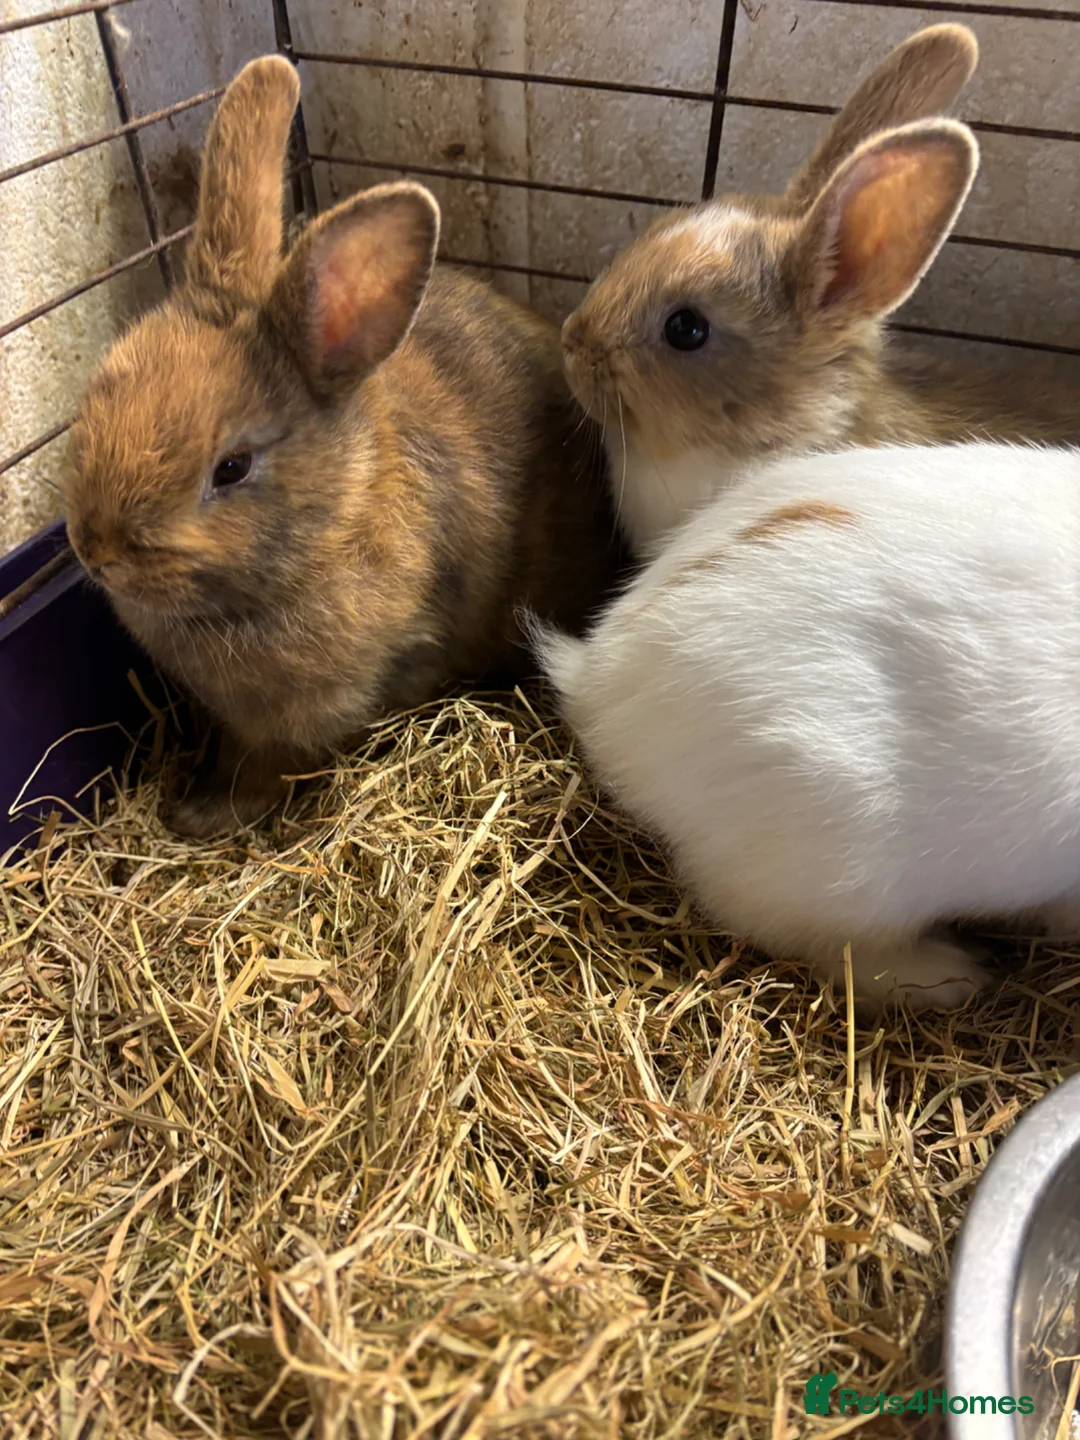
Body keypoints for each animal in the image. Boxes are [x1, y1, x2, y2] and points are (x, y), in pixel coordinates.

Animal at [63, 55, 624, 839]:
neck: (331, 530)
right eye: (96, 398)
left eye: (231, 469)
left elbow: (272, 765)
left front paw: (209, 814)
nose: (97, 552)